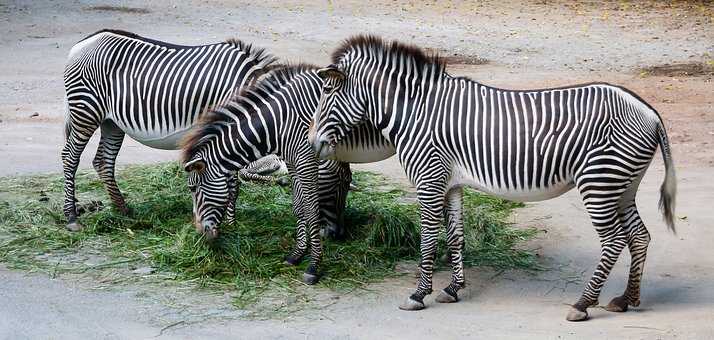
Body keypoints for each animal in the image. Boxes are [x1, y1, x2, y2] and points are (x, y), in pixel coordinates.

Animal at [178, 65, 390, 282]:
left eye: (193, 188)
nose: (200, 233)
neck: (280, 122)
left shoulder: (307, 160)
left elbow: (311, 211)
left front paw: (313, 266)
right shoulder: (293, 162)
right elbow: (298, 207)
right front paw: (296, 255)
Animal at [308, 35, 676, 322]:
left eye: (326, 91)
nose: (312, 143)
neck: (415, 112)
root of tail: (651, 113)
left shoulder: (428, 180)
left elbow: (428, 239)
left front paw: (418, 294)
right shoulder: (450, 183)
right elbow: (455, 236)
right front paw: (453, 288)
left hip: (599, 183)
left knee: (613, 241)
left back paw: (583, 304)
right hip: (622, 186)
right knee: (639, 237)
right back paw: (626, 300)